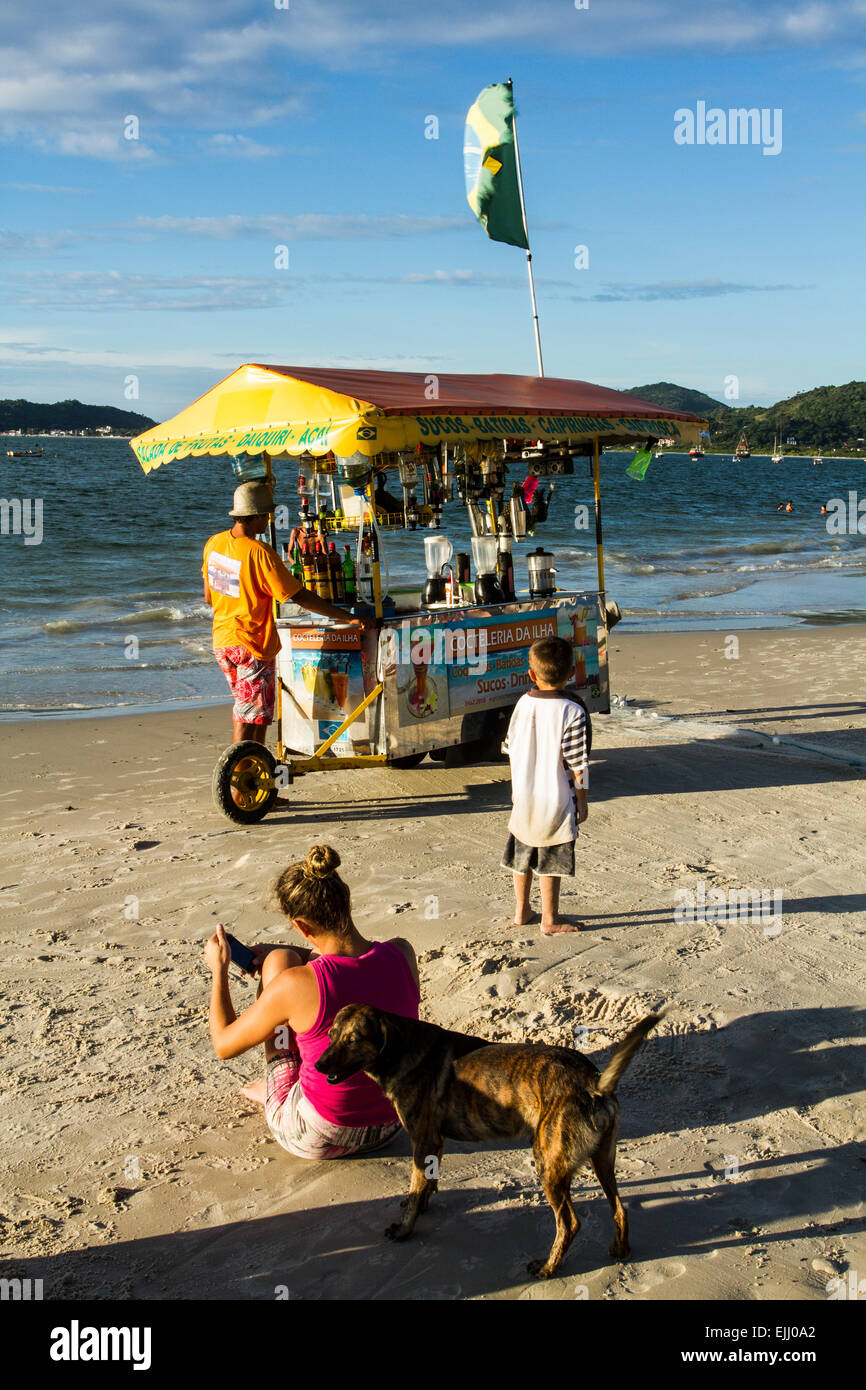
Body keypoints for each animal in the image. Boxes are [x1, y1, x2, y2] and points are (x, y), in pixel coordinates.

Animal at [315, 1000, 661, 1278]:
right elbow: (425, 1183)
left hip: (549, 1164)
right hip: (602, 1159)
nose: (318, 1065)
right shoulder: (435, 1142)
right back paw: (620, 1250)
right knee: (619, 1208)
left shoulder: (422, 1141)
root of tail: (592, 1083)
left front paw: (404, 1229)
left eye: (353, 1040)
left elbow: (414, 1192)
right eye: (331, 1035)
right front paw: (423, 1201)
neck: (399, 1047)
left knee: (569, 1223)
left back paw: (548, 1267)